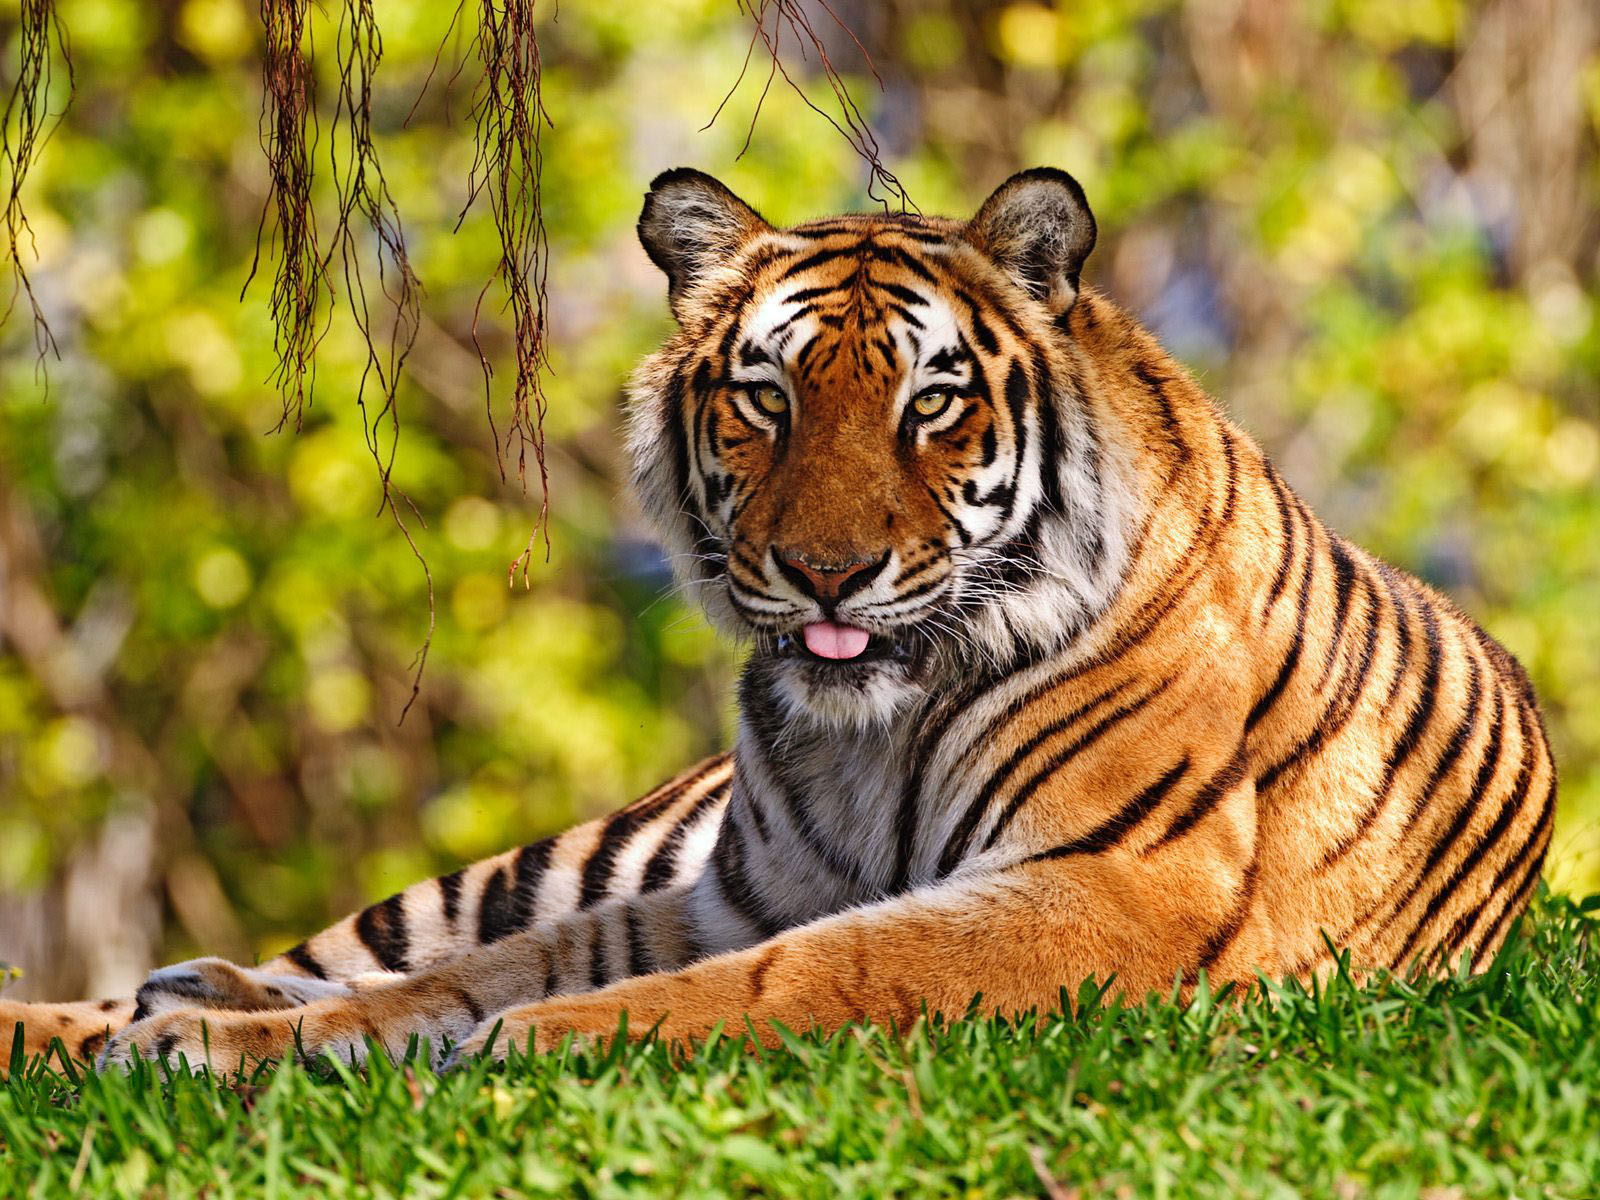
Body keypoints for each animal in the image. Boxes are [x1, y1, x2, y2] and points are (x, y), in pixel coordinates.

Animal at [0, 167, 1548, 1068]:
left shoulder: (1113, 886)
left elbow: (800, 974)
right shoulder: (727, 890)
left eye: (932, 402)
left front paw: (519, 1044)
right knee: (334, 955)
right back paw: (153, 1006)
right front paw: (233, 1044)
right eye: (766, 396)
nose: (826, 572)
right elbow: (469, 974)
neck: (871, 731)